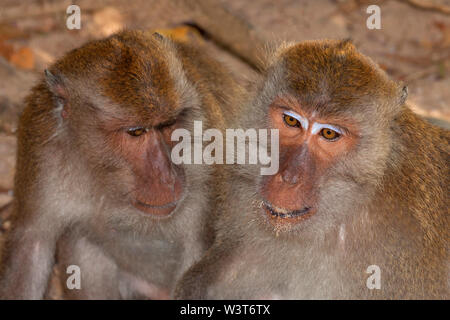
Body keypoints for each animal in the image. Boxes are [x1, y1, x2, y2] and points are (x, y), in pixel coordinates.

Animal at [0, 29, 243, 300]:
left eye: (168, 124)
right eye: (136, 132)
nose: (167, 177)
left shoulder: (210, 148)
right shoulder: (41, 143)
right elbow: (31, 245)